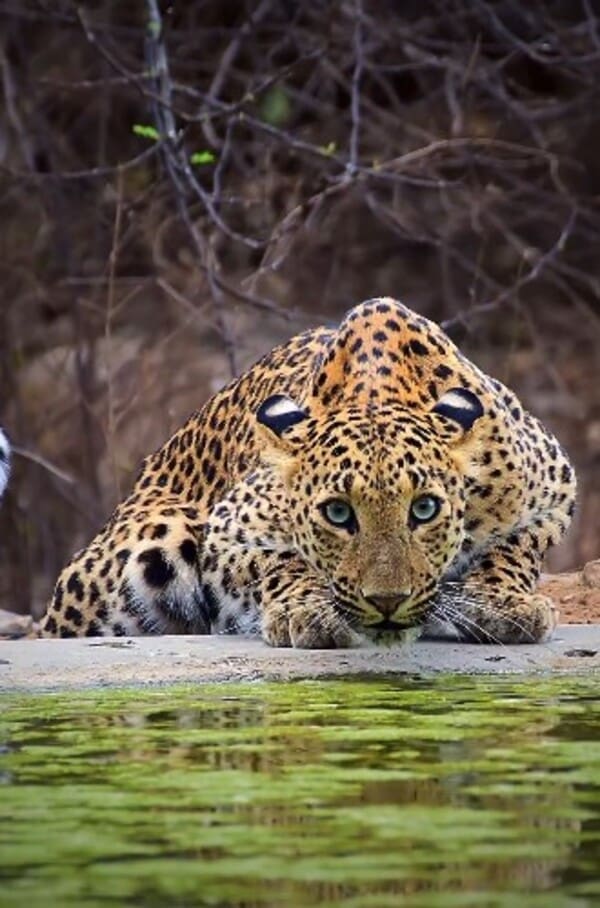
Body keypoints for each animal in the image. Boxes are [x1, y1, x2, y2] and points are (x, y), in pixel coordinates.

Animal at [39, 297, 576, 646]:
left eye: (424, 509)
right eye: (338, 514)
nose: (386, 602)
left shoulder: (554, 490)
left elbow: (515, 548)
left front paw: (501, 600)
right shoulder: (231, 526)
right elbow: (280, 563)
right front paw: (308, 611)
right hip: (156, 537)